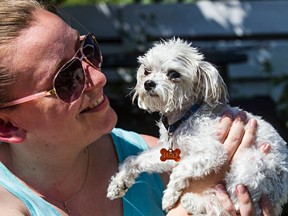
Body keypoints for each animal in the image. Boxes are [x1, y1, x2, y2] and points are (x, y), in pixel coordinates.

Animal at [107, 38, 288, 215]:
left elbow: (181, 169)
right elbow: (134, 159)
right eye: (147, 71)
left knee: (232, 206)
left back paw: (194, 202)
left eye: (173, 74)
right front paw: (119, 182)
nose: (148, 83)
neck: (184, 117)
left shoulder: (214, 152)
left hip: (251, 165)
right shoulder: (172, 154)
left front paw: (169, 195)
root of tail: (280, 199)